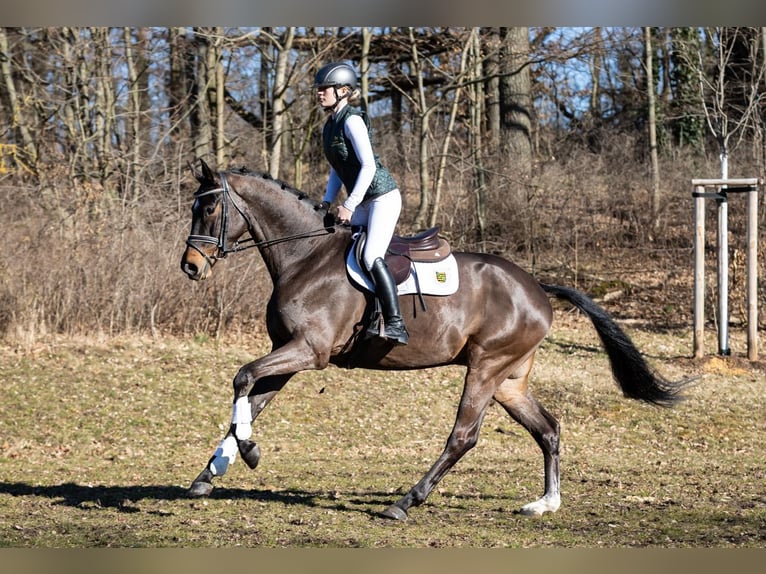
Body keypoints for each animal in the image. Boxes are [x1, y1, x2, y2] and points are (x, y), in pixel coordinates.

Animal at [180, 159, 687, 520]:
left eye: (209, 207)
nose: (190, 267)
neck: (305, 255)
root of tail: (539, 289)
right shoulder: (286, 353)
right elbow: (249, 400)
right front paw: (211, 472)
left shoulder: (309, 351)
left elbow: (242, 378)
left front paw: (247, 454)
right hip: (509, 380)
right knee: (548, 428)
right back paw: (545, 503)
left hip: (485, 368)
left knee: (463, 436)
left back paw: (405, 502)